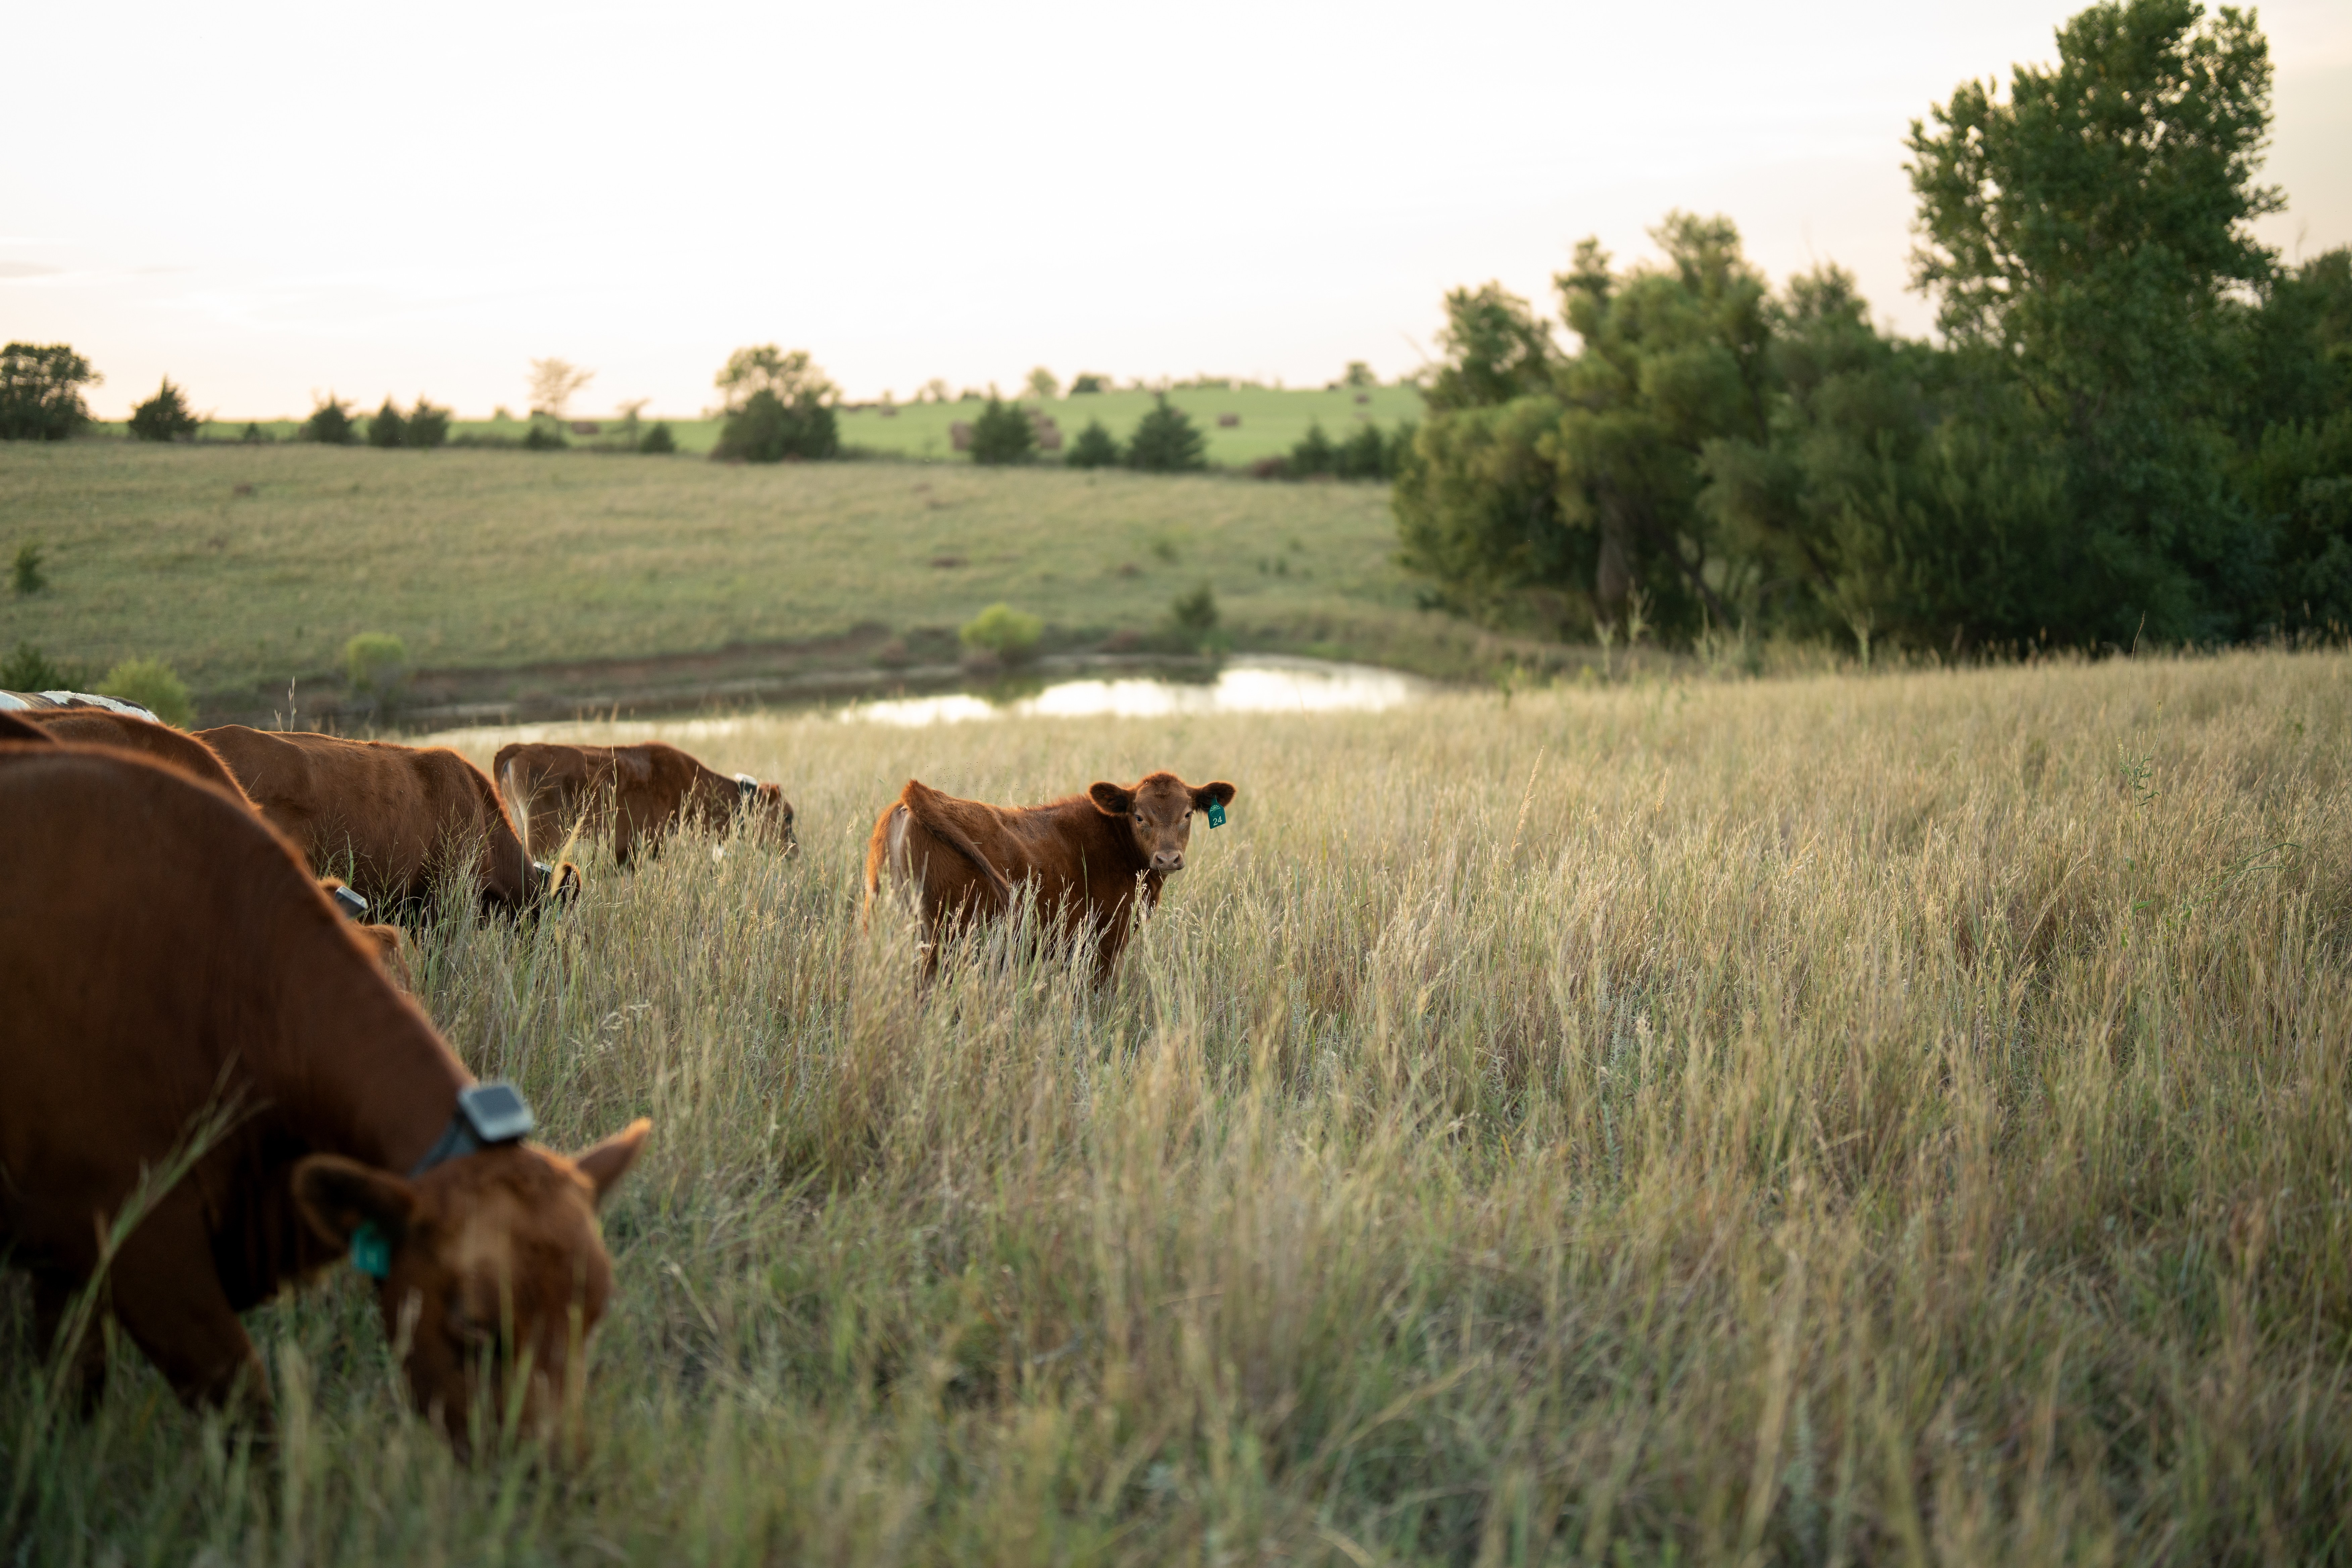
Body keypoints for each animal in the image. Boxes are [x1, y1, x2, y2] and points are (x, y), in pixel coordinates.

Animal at [863, 770, 1236, 978]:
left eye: (1187, 814)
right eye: (1140, 816)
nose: (1168, 858)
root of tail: (916, 797)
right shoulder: (1105, 943)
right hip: (945, 938)